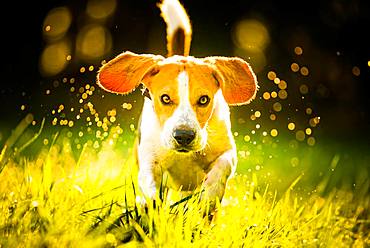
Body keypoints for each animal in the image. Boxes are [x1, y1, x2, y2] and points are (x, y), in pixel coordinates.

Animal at [96, 0, 258, 205]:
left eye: (204, 99)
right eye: (165, 98)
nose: (184, 136)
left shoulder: (227, 150)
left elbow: (223, 165)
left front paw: (210, 195)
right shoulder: (149, 161)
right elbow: (150, 186)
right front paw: (152, 208)